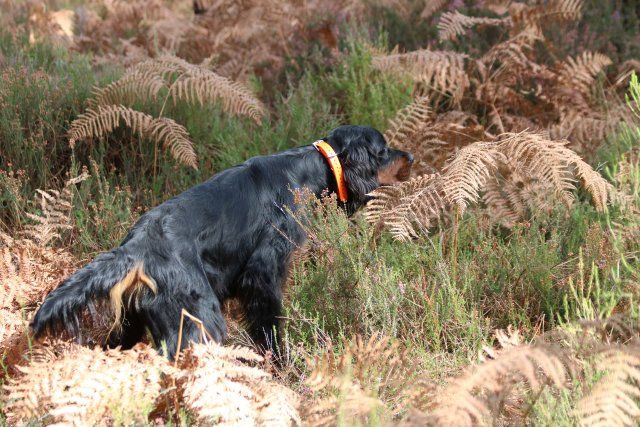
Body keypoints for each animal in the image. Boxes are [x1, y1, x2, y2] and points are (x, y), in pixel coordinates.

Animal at [32, 125, 416, 360]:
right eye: (383, 151)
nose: (411, 156)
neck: (315, 168)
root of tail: (136, 247)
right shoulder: (263, 274)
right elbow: (269, 326)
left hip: (133, 321)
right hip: (198, 320)